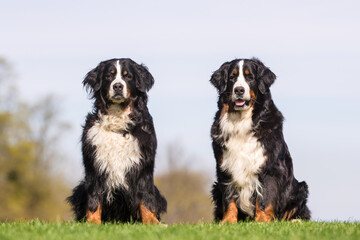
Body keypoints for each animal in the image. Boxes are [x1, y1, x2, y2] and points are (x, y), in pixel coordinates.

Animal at [68, 58, 167, 225]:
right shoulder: (94, 167)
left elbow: (146, 197)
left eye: (128, 76)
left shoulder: (144, 167)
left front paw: (152, 222)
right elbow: (94, 198)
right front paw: (92, 222)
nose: (118, 86)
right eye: (109, 76)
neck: (118, 122)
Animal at [211, 58, 310, 223]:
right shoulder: (225, 167)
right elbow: (229, 198)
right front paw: (228, 221)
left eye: (250, 77)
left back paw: (296, 220)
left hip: (300, 188)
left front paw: (262, 221)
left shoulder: (269, 166)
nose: (239, 90)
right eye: (232, 77)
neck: (241, 123)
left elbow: (265, 196)